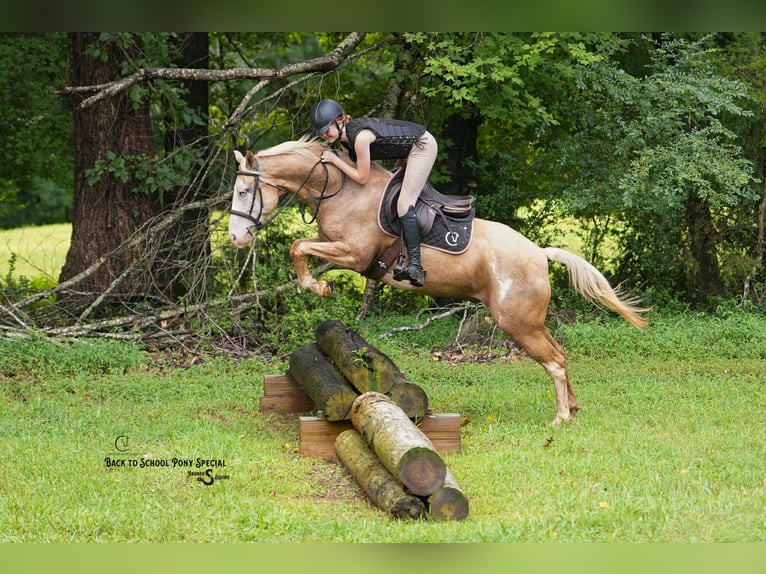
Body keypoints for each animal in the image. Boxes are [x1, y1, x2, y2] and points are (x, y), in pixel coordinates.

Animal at [228, 137, 648, 425]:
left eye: (244, 191)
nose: (235, 238)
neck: (343, 190)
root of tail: (539, 253)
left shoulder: (354, 253)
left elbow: (298, 246)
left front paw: (319, 288)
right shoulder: (336, 246)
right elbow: (300, 246)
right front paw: (317, 286)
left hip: (516, 322)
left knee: (555, 362)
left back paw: (560, 418)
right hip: (528, 320)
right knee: (559, 353)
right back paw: (573, 408)